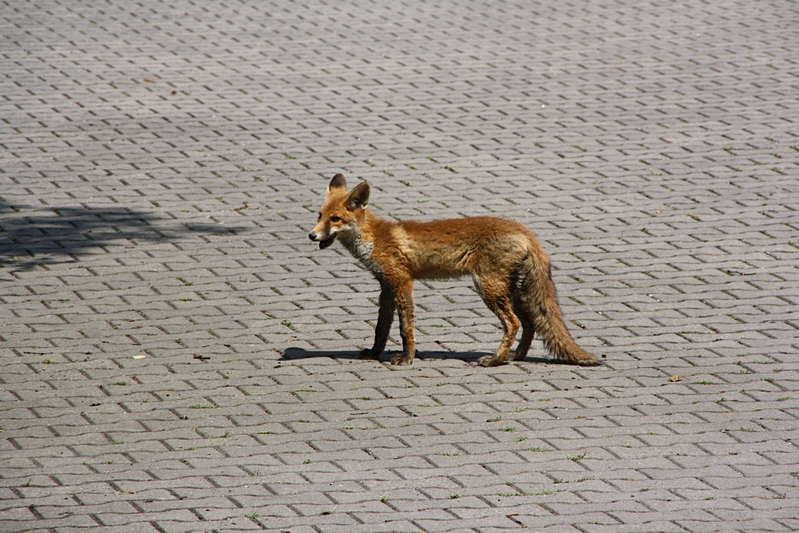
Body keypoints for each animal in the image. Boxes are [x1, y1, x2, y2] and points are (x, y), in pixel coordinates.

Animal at [309, 173, 598, 367]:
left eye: (335, 219)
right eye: (319, 216)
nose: (311, 235)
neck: (374, 238)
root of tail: (524, 230)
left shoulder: (402, 282)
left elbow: (405, 328)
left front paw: (407, 358)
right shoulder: (386, 287)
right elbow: (382, 328)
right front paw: (374, 353)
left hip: (488, 288)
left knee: (513, 323)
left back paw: (495, 360)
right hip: (508, 290)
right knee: (529, 322)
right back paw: (515, 356)